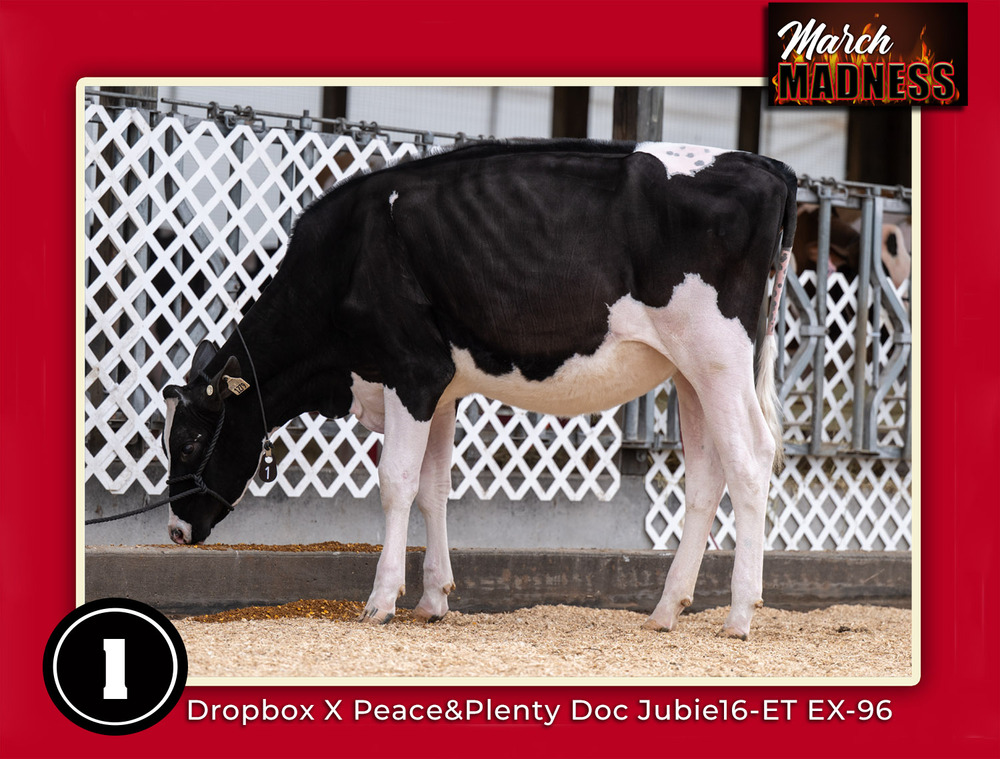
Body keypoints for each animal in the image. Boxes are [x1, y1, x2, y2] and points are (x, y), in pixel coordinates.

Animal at [161, 139, 797, 640]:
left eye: (188, 442)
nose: (174, 530)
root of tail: (763, 165)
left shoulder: (411, 373)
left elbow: (395, 482)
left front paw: (381, 602)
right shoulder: (440, 390)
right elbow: (433, 488)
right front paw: (433, 600)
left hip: (719, 354)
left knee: (751, 458)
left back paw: (739, 615)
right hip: (689, 369)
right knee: (706, 476)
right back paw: (666, 610)